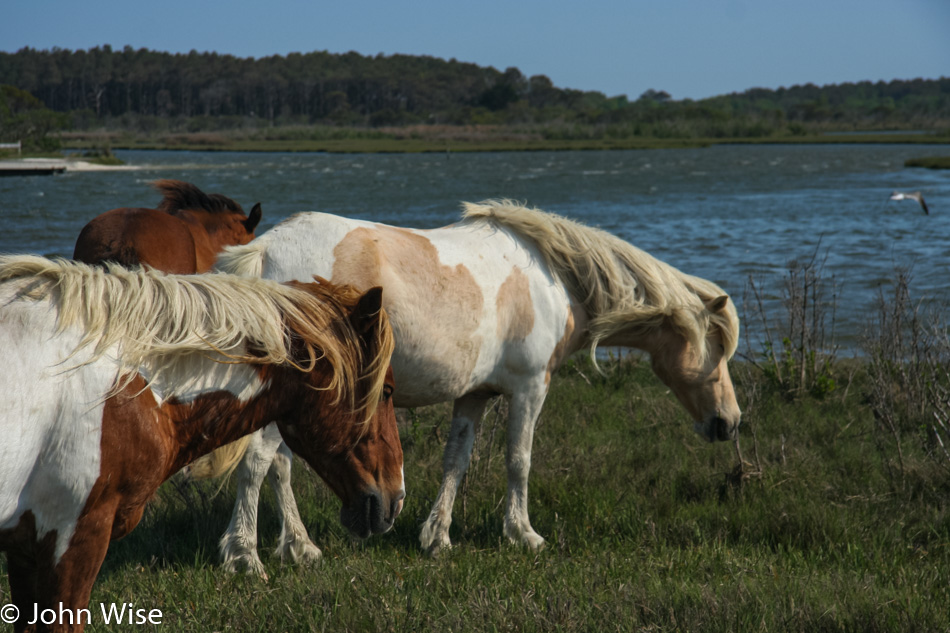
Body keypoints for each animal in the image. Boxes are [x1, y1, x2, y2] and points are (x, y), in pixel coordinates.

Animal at [197, 199, 740, 568]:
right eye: (717, 348)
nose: (729, 423)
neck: (554, 278)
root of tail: (265, 251)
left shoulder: (474, 396)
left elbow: (456, 462)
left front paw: (437, 537)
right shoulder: (530, 390)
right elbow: (519, 461)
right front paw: (522, 534)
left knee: (279, 467)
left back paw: (300, 546)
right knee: (258, 463)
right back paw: (245, 554)